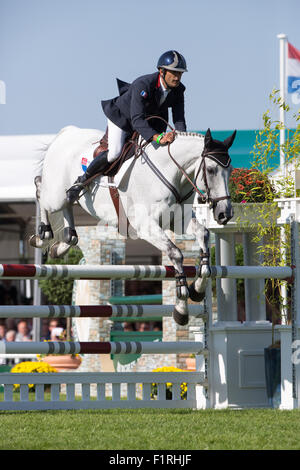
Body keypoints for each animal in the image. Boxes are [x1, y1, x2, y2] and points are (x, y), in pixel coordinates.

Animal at [31, 123, 237, 324]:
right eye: (211, 170)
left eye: (230, 171)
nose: (224, 214)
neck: (170, 172)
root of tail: (67, 132)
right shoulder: (145, 225)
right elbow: (175, 253)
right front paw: (181, 309)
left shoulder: (178, 220)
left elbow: (203, 234)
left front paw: (198, 289)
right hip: (55, 196)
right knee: (41, 187)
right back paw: (43, 235)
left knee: (68, 205)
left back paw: (64, 243)